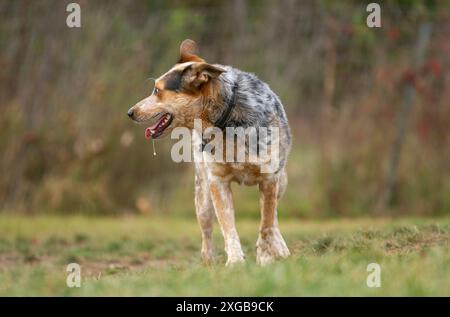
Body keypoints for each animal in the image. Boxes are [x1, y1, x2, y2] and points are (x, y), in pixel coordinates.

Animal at [127, 39, 292, 264]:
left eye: (157, 90)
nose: (130, 112)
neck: (226, 121)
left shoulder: (269, 179)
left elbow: (266, 224)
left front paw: (265, 257)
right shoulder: (217, 181)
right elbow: (228, 226)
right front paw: (235, 262)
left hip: (281, 182)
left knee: (272, 216)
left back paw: (280, 249)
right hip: (202, 194)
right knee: (206, 231)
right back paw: (208, 261)